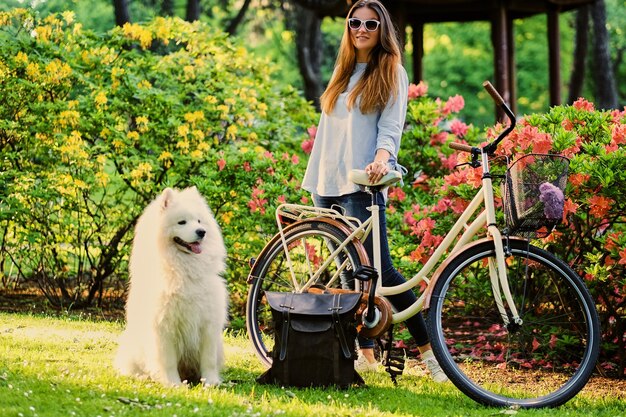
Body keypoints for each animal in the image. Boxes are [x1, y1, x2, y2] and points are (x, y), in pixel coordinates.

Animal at [114, 187, 227, 386]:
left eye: (199, 221)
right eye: (182, 222)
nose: (202, 232)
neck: (185, 272)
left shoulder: (208, 325)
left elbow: (208, 359)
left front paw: (211, 382)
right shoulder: (164, 326)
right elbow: (167, 361)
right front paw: (173, 383)